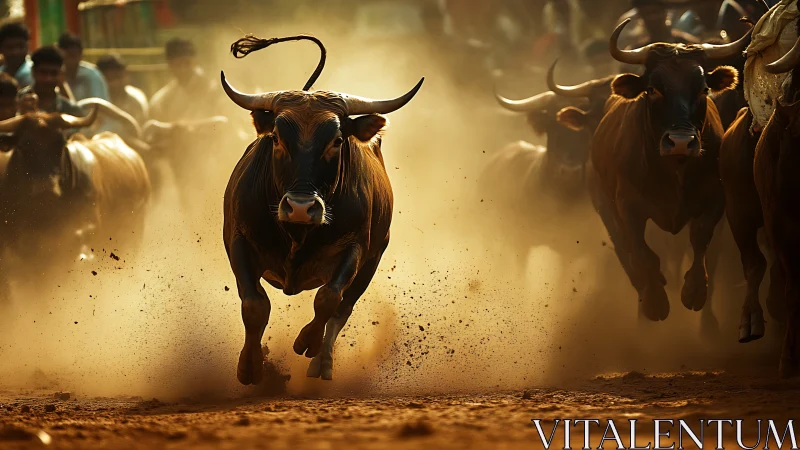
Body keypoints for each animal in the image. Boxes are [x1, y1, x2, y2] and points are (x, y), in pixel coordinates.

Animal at [220, 34, 423, 384]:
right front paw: (251, 366)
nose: (301, 207)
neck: (297, 232)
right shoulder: (238, 241)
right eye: (276, 138)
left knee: (343, 309)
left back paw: (322, 363)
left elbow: (329, 298)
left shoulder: (356, 248)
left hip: (371, 262)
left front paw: (307, 343)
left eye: (337, 141)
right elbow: (255, 305)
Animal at [588, 18, 749, 322]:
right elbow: (641, 251)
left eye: (704, 89)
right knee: (624, 248)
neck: (675, 172)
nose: (681, 141)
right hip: (604, 204)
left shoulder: (716, 199)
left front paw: (694, 292)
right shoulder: (627, 206)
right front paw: (655, 301)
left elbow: (700, 238)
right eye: (653, 89)